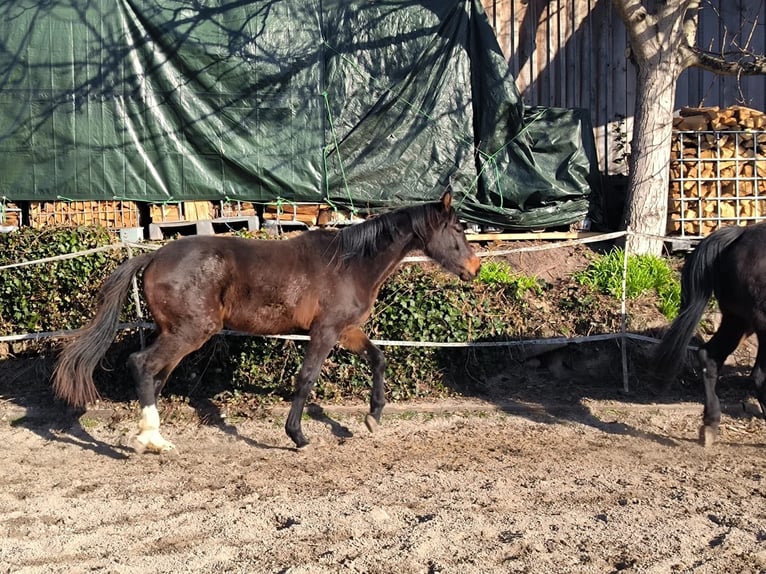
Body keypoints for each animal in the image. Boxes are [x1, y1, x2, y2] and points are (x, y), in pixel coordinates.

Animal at [52, 191, 481, 452]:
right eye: (457, 228)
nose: (475, 267)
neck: (350, 263)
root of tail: (154, 256)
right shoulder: (324, 332)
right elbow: (306, 379)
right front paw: (298, 435)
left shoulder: (346, 330)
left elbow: (378, 359)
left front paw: (373, 418)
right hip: (191, 332)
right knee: (141, 365)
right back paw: (151, 441)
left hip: (176, 333)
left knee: (155, 376)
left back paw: (152, 437)